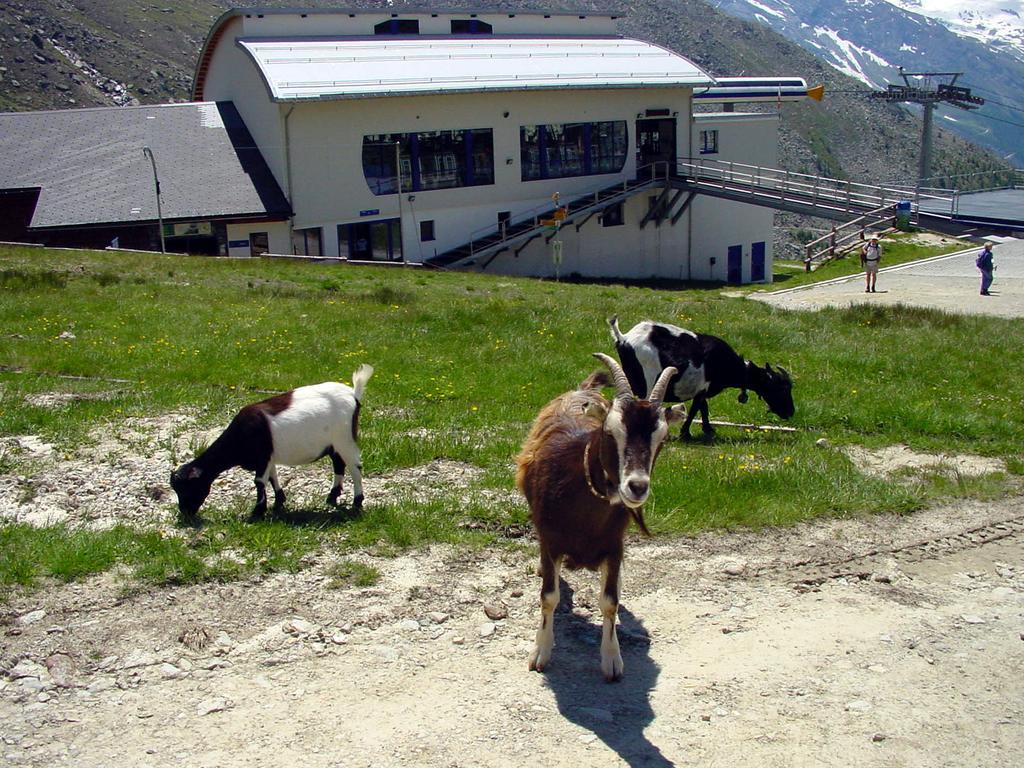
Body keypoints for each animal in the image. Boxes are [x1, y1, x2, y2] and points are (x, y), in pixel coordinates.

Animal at [169, 364, 374, 524]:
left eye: (189, 487)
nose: (185, 513)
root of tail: (353, 394)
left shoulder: (262, 457)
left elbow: (259, 481)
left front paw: (257, 511)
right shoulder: (268, 456)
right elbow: (272, 477)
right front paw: (278, 501)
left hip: (345, 439)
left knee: (355, 468)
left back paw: (357, 502)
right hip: (334, 444)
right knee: (338, 465)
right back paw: (331, 497)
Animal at [516, 352, 684, 684]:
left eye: (662, 438)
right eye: (610, 431)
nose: (637, 487)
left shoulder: (614, 545)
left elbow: (609, 601)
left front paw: (612, 660)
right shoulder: (550, 540)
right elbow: (549, 596)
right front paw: (541, 652)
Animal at [606, 317, 790, 438]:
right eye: (779, 388)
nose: (790, 412)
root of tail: (624, 338)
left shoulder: (702, 389)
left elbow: (703, 407)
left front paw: (707, 430)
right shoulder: (703, 387)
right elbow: (697, 407)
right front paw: (686, 433)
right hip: (648, 380)